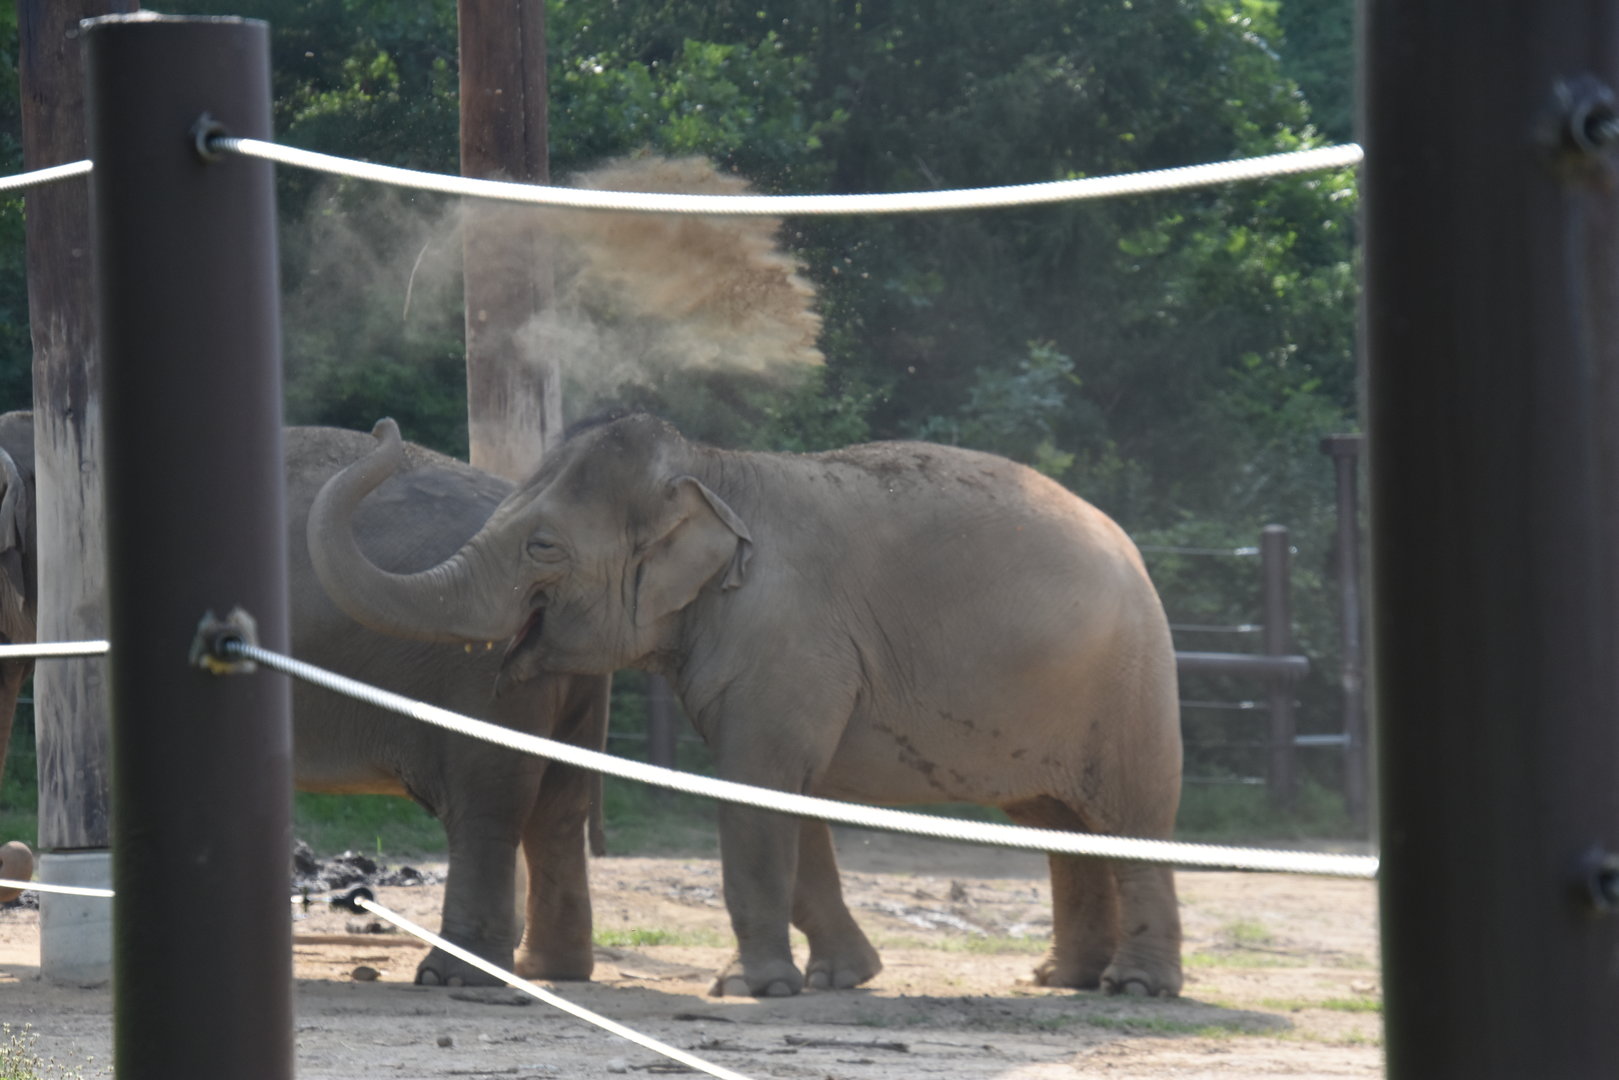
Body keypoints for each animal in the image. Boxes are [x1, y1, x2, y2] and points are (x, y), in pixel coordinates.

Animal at [307, 411, 1186, 999]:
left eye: (542, 546)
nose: (382, 426)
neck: (713, 470)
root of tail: (1128, 546)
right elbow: (791, 794)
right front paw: (839, 977)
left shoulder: (784, 633)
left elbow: (755, 786)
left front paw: (748, 988)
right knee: (1060, 825)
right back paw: (1060, 978)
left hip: (1133, 682)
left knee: (1131, 818)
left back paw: (1135, 988)